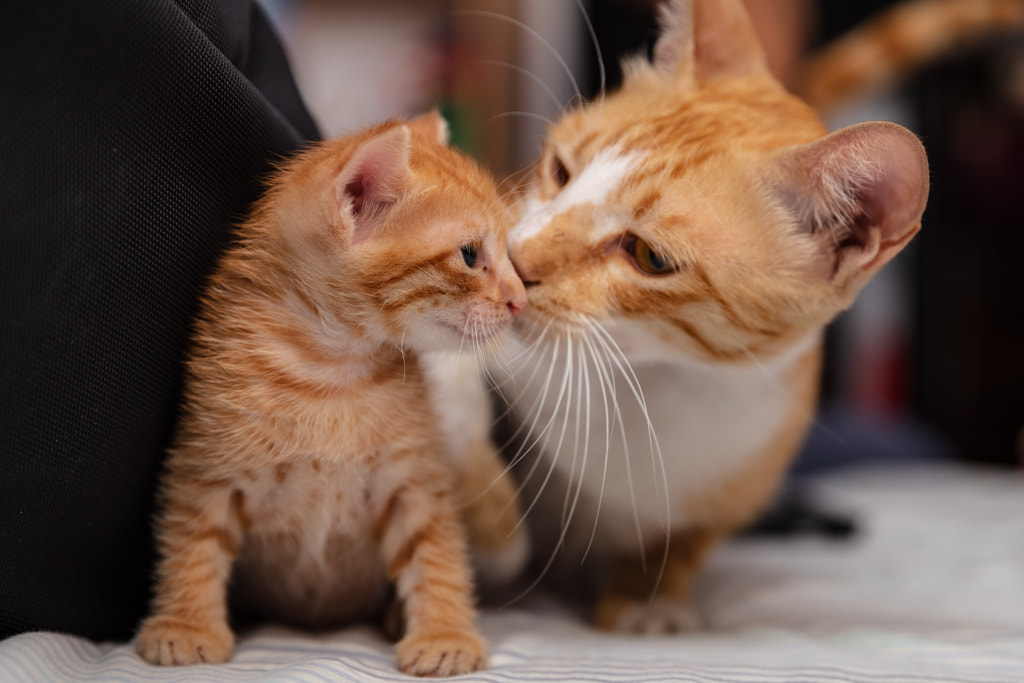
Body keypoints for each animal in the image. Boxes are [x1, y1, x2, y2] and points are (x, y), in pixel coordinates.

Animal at [132, 113, 524, 679]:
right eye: (471, 255)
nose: (521, 300)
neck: (334, 376)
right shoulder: (206, 466)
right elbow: (193, 541)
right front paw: (185, 625)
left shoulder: (414, 479)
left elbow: (436, 551)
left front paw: (445, 634)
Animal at [479, 0, 929, 634]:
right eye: (561, 172)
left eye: (649, 257)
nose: (514, 263)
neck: (651, 382)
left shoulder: (734, 487)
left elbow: (683, 544)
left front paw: (648, 599)